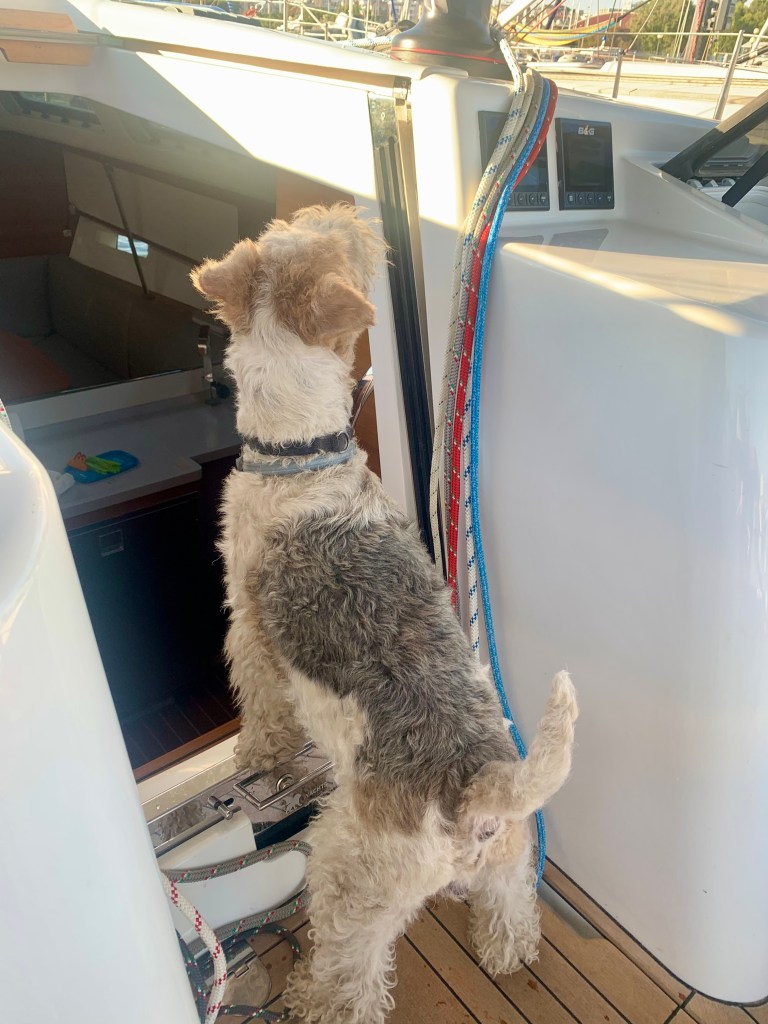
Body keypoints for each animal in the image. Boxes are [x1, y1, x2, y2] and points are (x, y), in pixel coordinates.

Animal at [191, 204, 578, 1024]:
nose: (349, 212)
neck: (302, 452)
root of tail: (477, 791)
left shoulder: (250, 623)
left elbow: (261, 703)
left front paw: (254, 754)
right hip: (510, 854)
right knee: (511, 908)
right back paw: (506, 952)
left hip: (348, 877)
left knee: (353, 976)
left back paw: (310, 995)